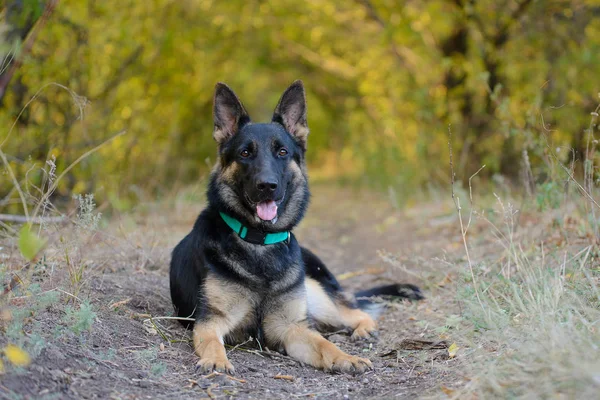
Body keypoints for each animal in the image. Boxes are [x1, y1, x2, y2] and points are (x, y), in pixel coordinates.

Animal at [169, 81, 422, 376]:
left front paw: (346, 357)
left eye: (282, 152)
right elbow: (212, 341)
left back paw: (363, 330)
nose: (267, 186)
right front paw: (217, 360)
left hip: (317, 295)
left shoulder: (291, 326)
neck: (259, 241)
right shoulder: (211, 321)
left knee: (353, 312)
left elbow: (324, 344)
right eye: (245, 153)